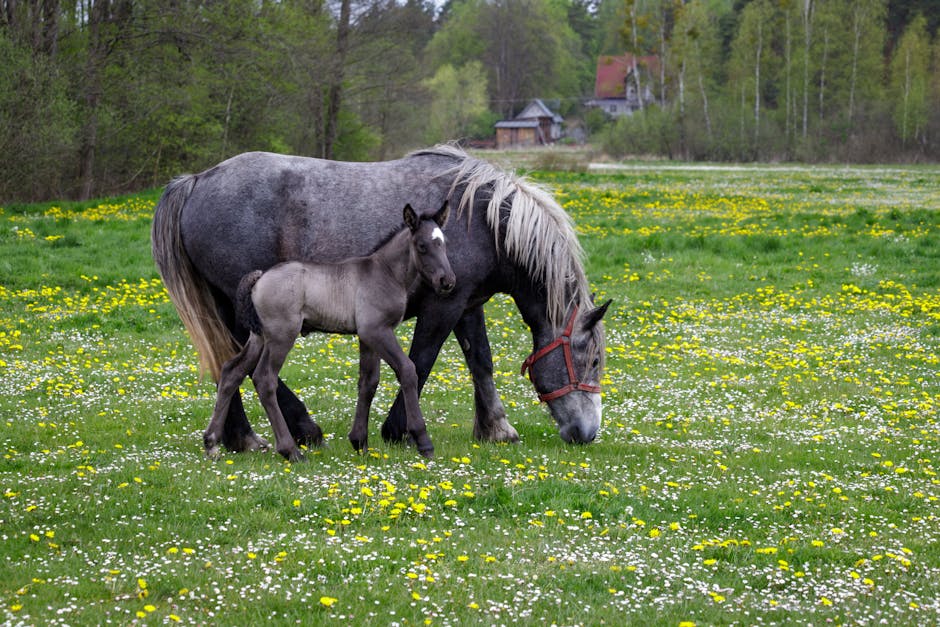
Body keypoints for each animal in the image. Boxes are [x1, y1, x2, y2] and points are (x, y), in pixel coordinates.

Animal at [152, 145, 608, 454]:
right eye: (592, 360)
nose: (587, 433)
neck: (482, 218)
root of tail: (197, 181)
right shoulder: (442, 306)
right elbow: (420, 362)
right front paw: (398, 429)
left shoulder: (466, 303)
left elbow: (480, 361)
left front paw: (495, 427)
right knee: (250, 371)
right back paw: (295, 431)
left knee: (231, 367)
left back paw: (239, 437)